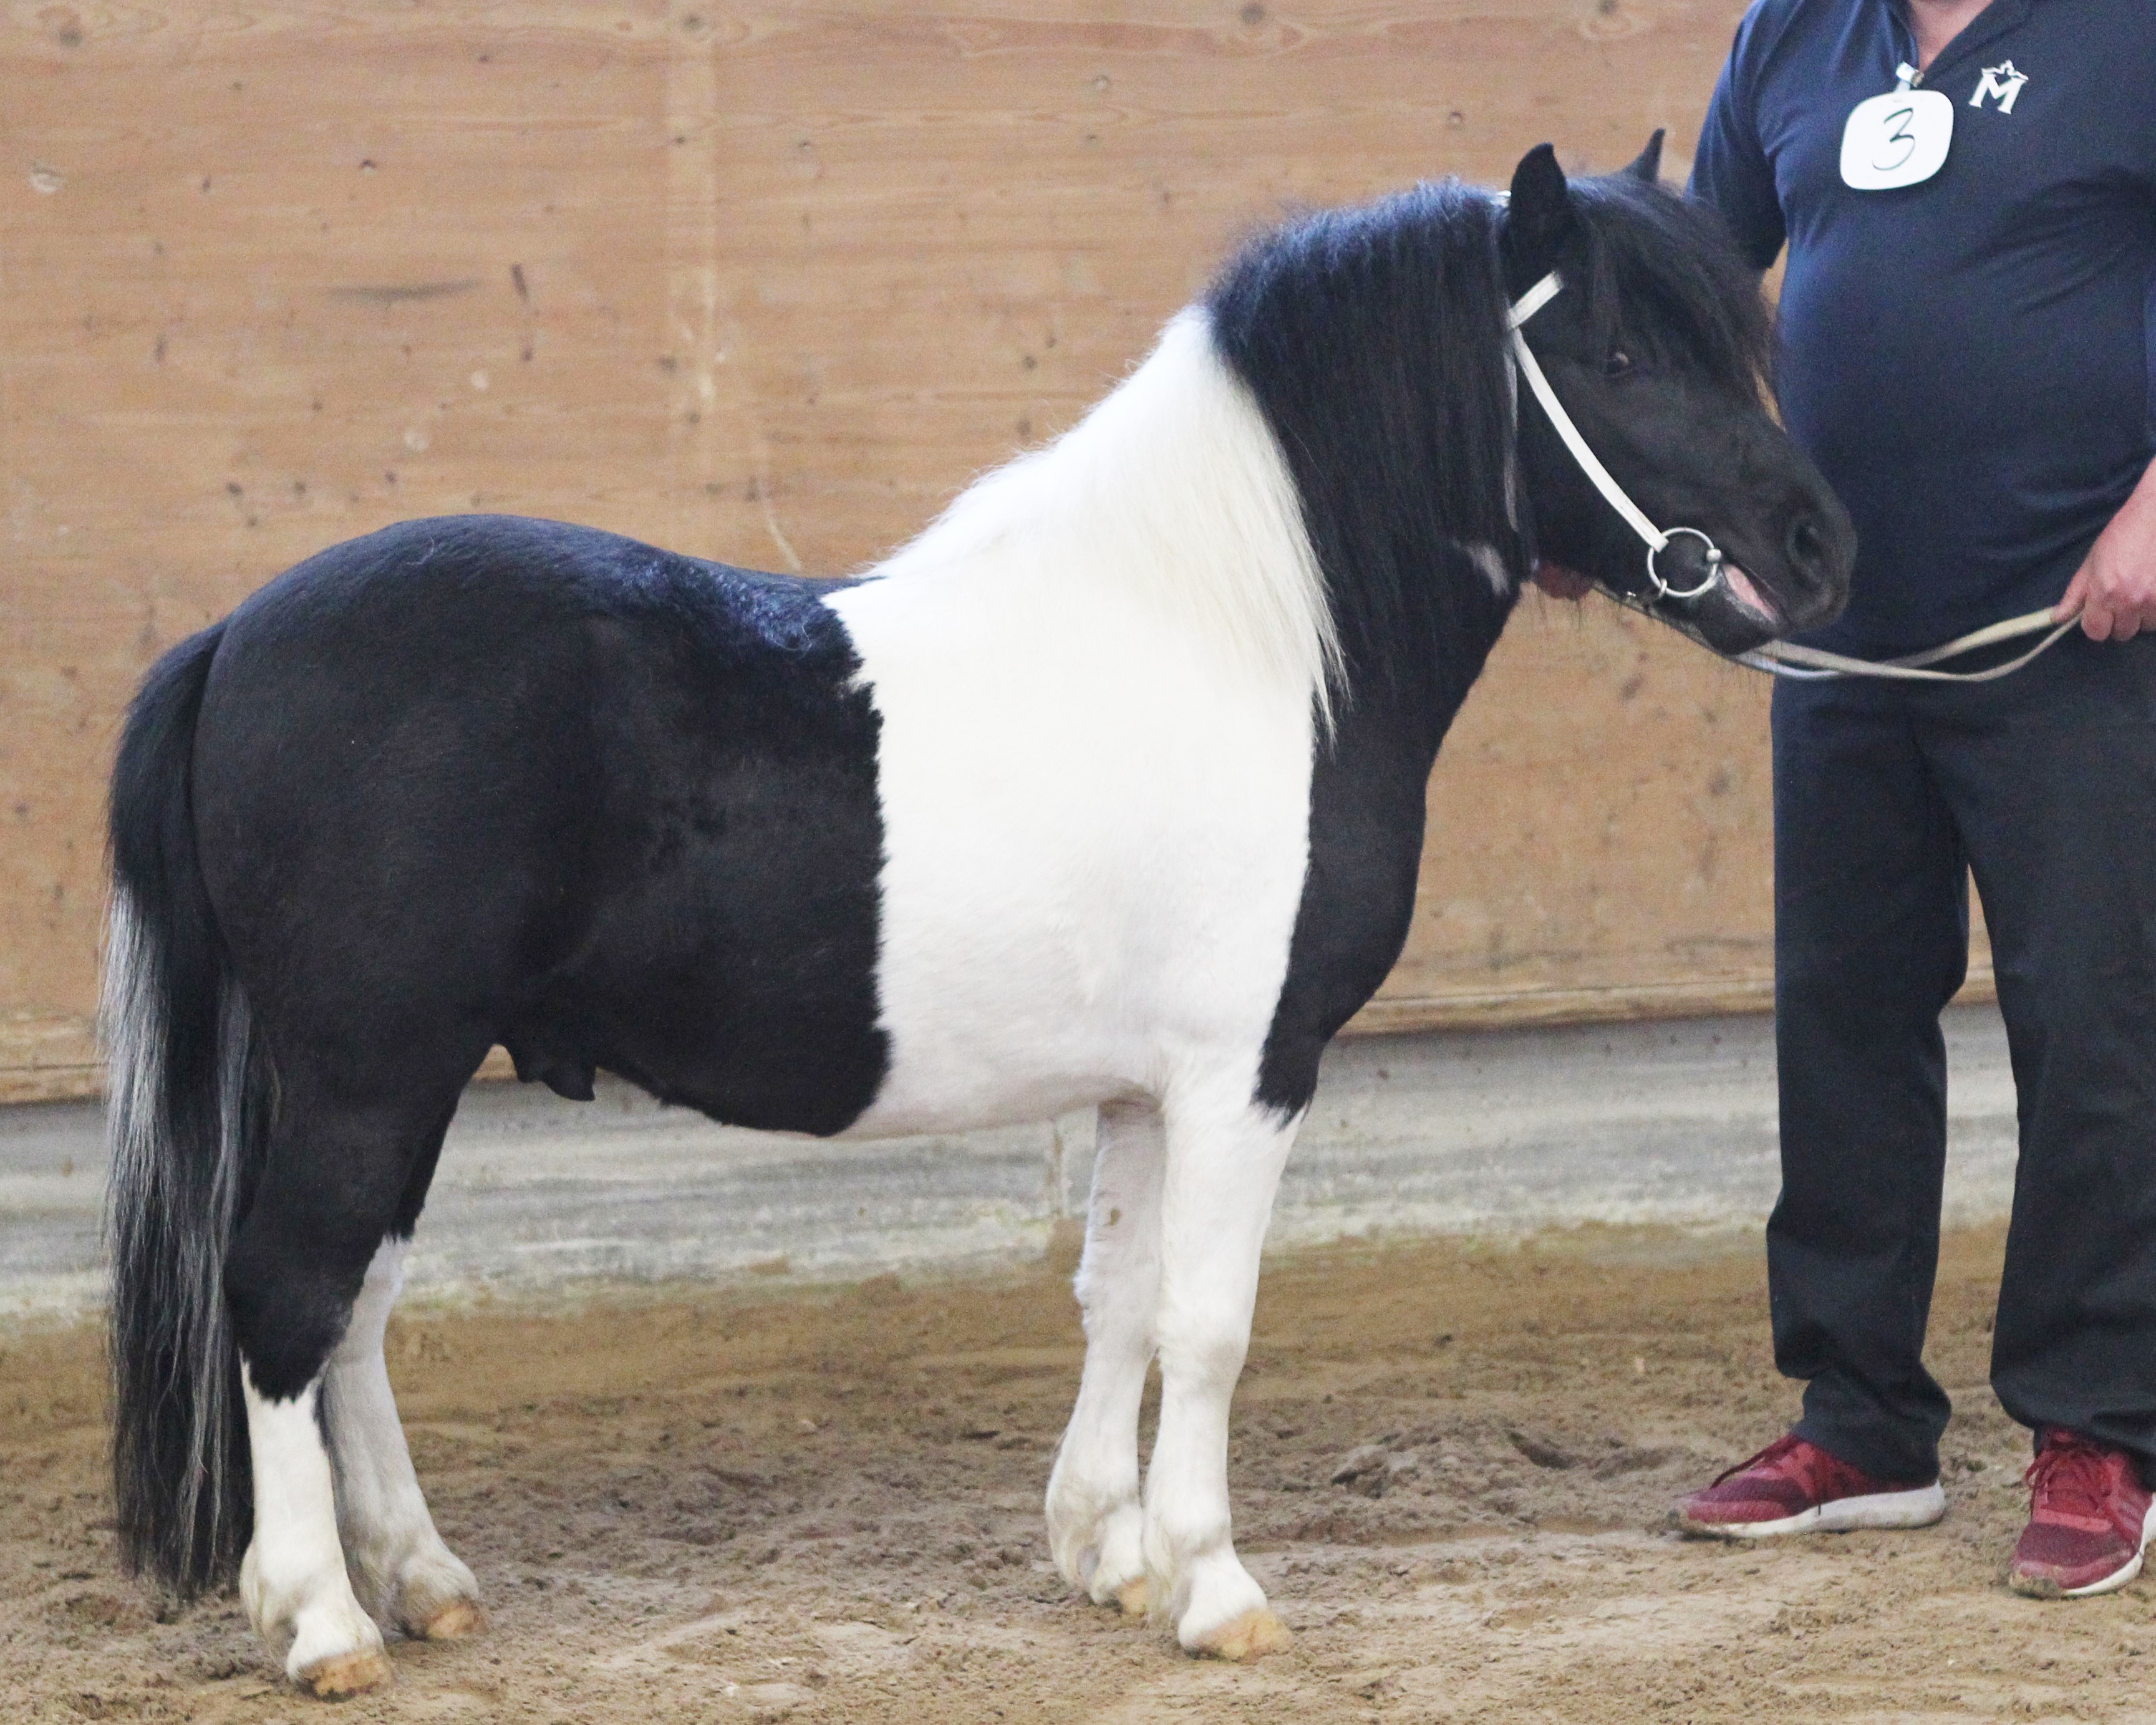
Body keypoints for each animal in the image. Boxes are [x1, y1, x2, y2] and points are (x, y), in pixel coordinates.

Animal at [101, 138, 1854, 1699]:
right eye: (1618, 354)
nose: (1817, 546)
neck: (1236, 639)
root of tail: (235, 637)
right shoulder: (1249, 1070)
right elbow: (1209, 1325)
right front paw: (1216, 1588)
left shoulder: (1147, 1085)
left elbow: (1121, 1302)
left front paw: (1111, 1555)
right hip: (370, 1072)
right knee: (288, 1296)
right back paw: (323, 1621)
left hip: (404, 1081)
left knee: (357, 1309)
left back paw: (422, 1583)